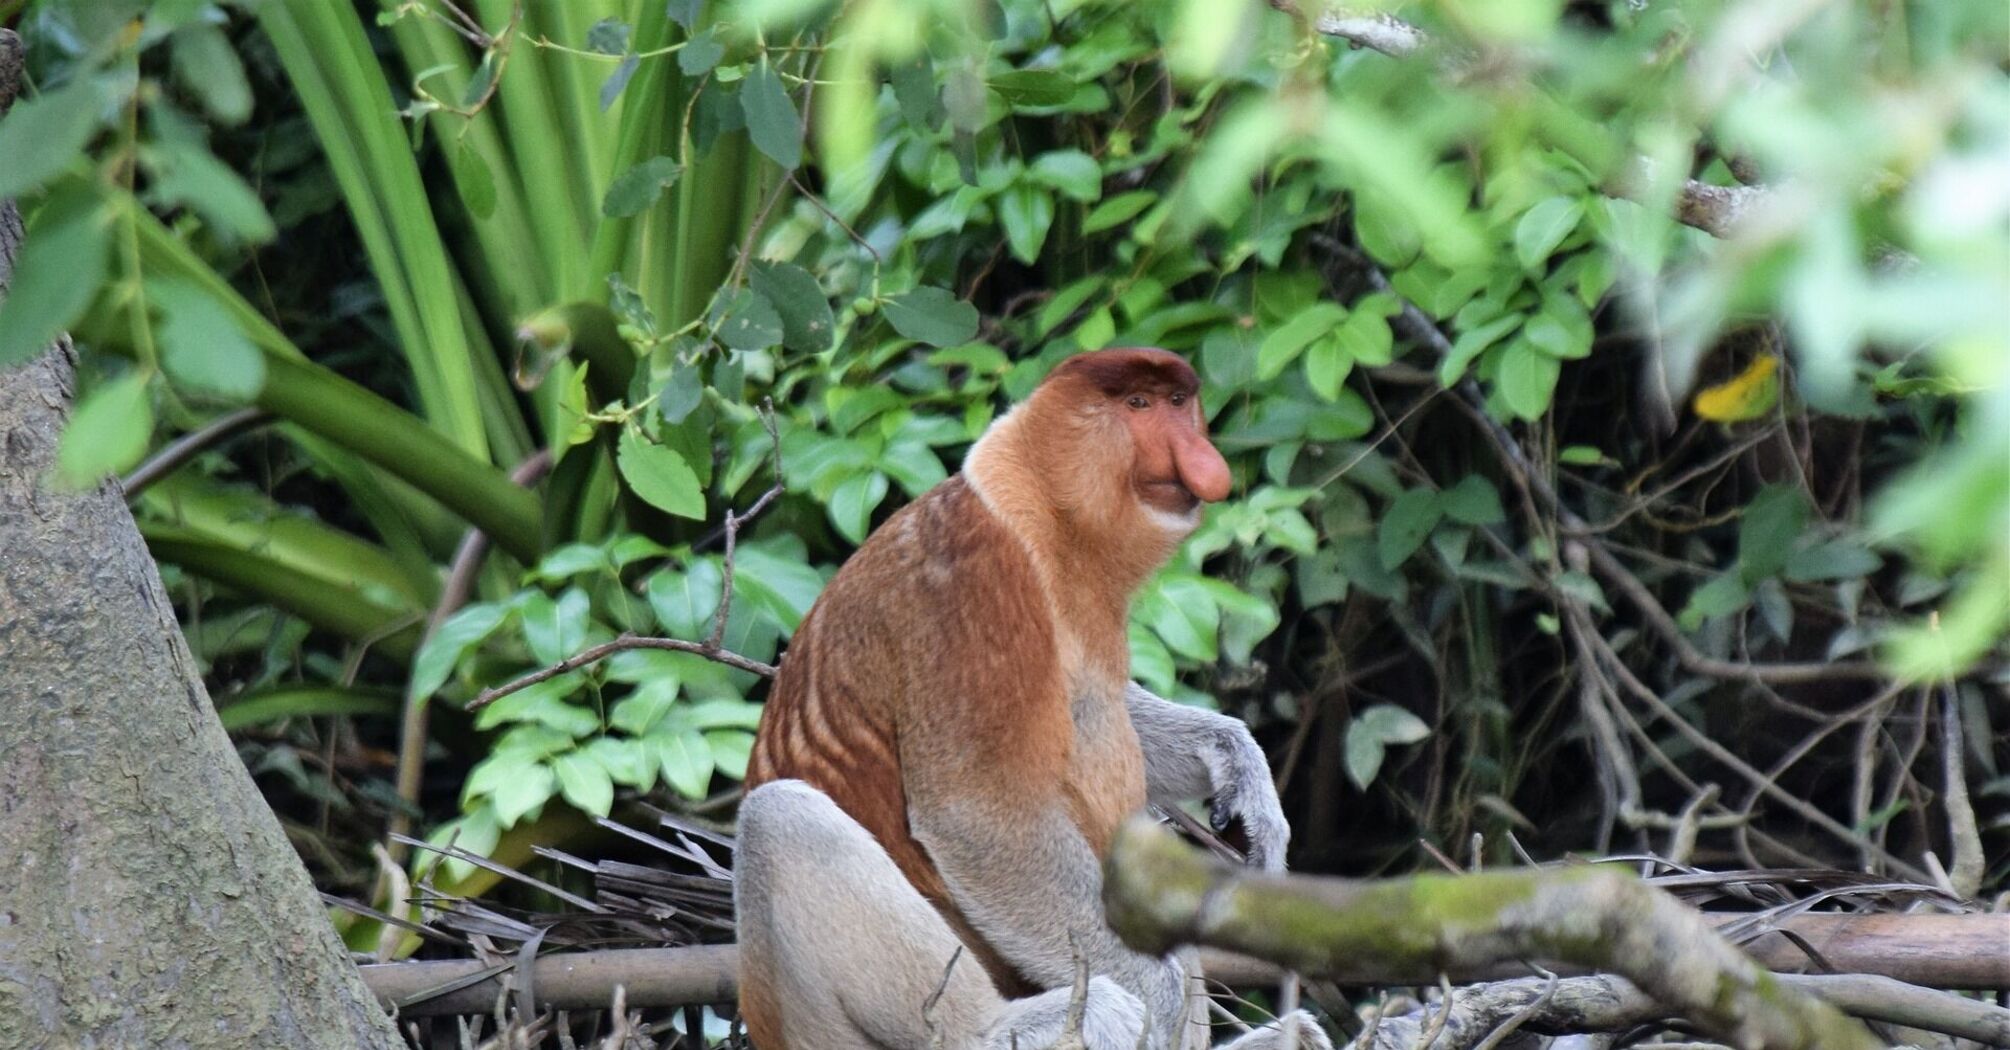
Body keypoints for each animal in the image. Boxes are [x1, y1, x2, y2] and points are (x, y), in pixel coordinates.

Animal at [739, 347, 1334, 1037]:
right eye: (1138, 405)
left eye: (1179, 402)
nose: (1201, 458)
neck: (1046, 519)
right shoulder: (974, 588)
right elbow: (978, 816)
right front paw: (1160, 1008)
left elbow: (1107, 708)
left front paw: (1240, 771)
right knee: (778, 820)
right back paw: (1022, 1024)